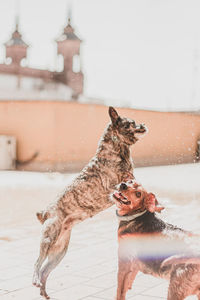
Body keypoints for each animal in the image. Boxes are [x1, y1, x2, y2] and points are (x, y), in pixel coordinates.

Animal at [32, 106, 147, 298]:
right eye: (131, 123)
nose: (143, 124)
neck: (117, 147)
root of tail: (46, 213)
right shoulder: (113, 187)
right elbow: (123, 189)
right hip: (48, 239)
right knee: (37, 263)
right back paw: (35, 280)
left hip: (59, 252)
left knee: (45, 271)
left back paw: (43, 290)